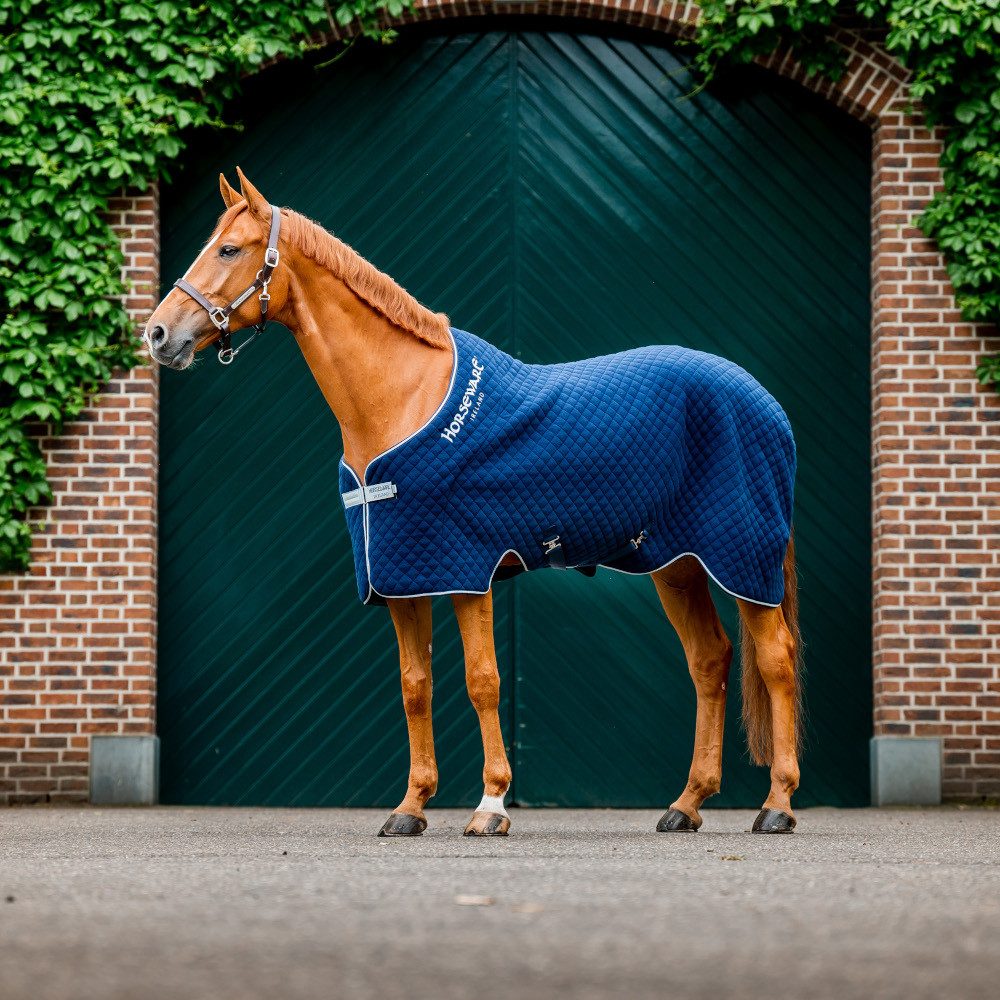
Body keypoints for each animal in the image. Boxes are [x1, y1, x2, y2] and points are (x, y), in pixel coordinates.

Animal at [145, 169, 803, 837]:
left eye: (230, 249)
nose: (158, 334)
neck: (403, 397)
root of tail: (764, 402)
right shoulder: (403, 577)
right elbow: (415, 686)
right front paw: (409, 808)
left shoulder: (466, 570)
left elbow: (481, 680)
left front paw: (490, 805)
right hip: (678, 565)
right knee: (710, 661)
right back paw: (686, 804)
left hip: (742, 556)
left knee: (775, 660)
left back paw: (776, 805)